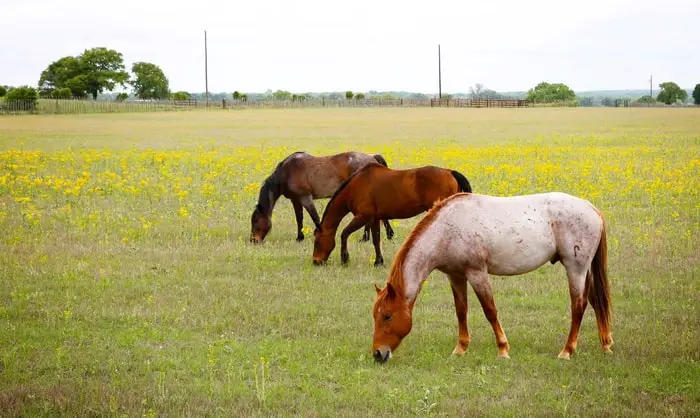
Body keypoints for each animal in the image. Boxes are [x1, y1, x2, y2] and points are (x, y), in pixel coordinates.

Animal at [250, 151, 394, 243]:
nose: (253, 240)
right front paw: (299, 238)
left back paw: (368, 237)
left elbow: (315, 217)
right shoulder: (295, 200)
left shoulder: (305, 197)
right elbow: (299, 219)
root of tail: (372, 157)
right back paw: (380, 236)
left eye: (255, 221)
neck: (286, 172)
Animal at [314, 162, 474, 264]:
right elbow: (376, 240)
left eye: (316, 240)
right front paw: (378, 261)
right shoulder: (374, 219)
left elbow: (344, 234)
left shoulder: (363, 217)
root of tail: (449, 172)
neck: (355, 187)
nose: (316, 261)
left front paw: (344, 258)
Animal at [372, 192, 612, 362]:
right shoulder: (456, 276)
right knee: (594, 301)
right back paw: (606, 344)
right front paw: (460, 348)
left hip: (575, 269)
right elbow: (461, 311)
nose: (377, 354)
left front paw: (503, 349)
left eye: (387, 316)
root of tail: (592, 209)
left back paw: (567, 351)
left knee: (578, 306)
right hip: (584, 271)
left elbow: (490, 311)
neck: (446, 230)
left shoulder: (477, 274)